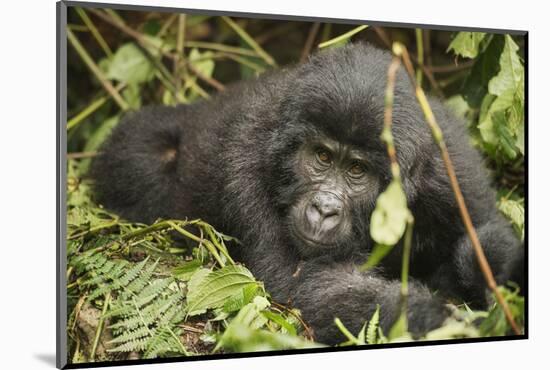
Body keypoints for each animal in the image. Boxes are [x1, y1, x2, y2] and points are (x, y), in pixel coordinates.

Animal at [91, 42, 528, 344]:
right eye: (321, 156)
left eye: (356, 170)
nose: (323, 209)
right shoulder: (244, 162)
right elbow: (299, 285)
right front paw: (434, 317)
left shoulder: (452, 168)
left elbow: (486, 230)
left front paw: (491, 277)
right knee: (144, 155)